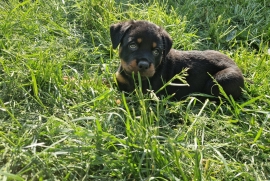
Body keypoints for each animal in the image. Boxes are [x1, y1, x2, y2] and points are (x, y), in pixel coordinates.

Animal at [109, 20, 245, 100]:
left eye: (156, 51)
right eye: (132, 45)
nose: (143, 65)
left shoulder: (144, 92)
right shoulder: (119, 79)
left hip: (221, 80)